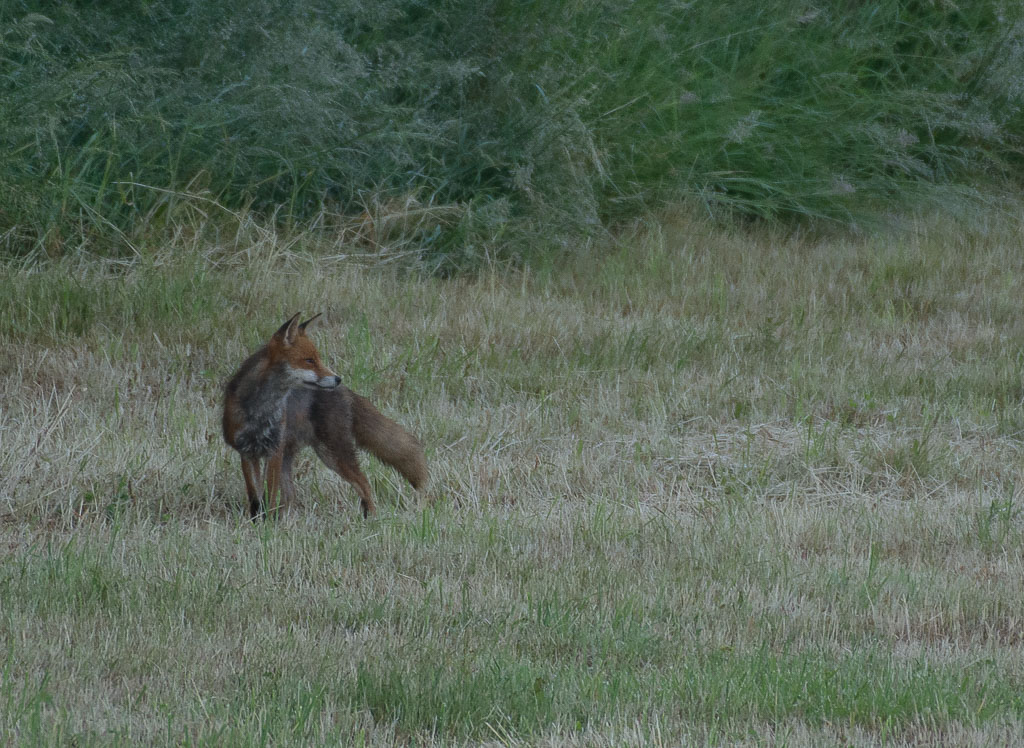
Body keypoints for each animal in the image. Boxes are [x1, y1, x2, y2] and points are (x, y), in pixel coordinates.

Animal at [222, 313, 427, 519]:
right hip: (298, 458)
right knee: (291, 495)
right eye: (309, 360)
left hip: (332, 453)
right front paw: (257, 521)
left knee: (364, 484)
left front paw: (268, 523)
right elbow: (255, 498)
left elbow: (269, 496)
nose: (338, 379)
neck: (260, 410)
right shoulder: (247, 452)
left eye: (318, 358)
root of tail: (346, 392)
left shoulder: (274, 451)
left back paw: (372, 519)